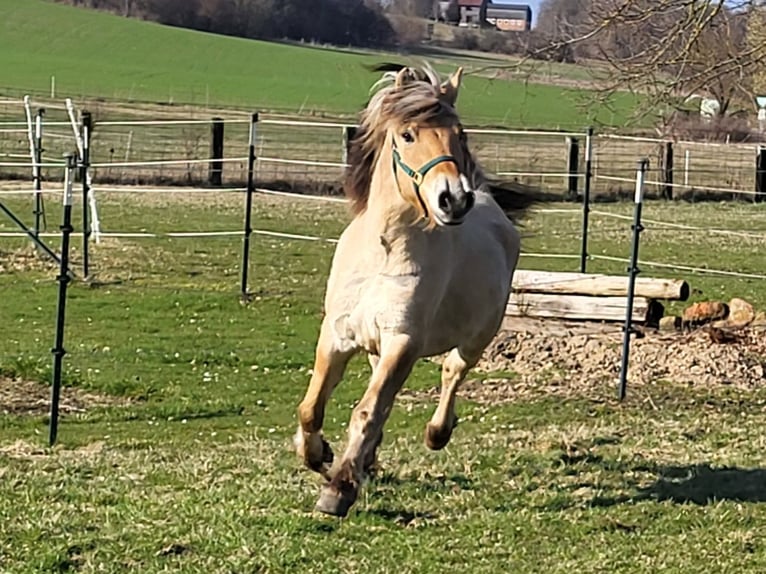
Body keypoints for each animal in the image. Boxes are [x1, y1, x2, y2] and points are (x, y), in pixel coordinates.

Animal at [294, 63, 536, 517]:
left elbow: (367, 411)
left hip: (477, 338)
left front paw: (338, 489)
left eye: (461, 134)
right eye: (407, 135)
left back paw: (435, 433)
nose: (454, 200)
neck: (383, 255)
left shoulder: (402, 342)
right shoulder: (337, 337)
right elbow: (312, 407)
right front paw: (319, 455)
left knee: (452, 371)